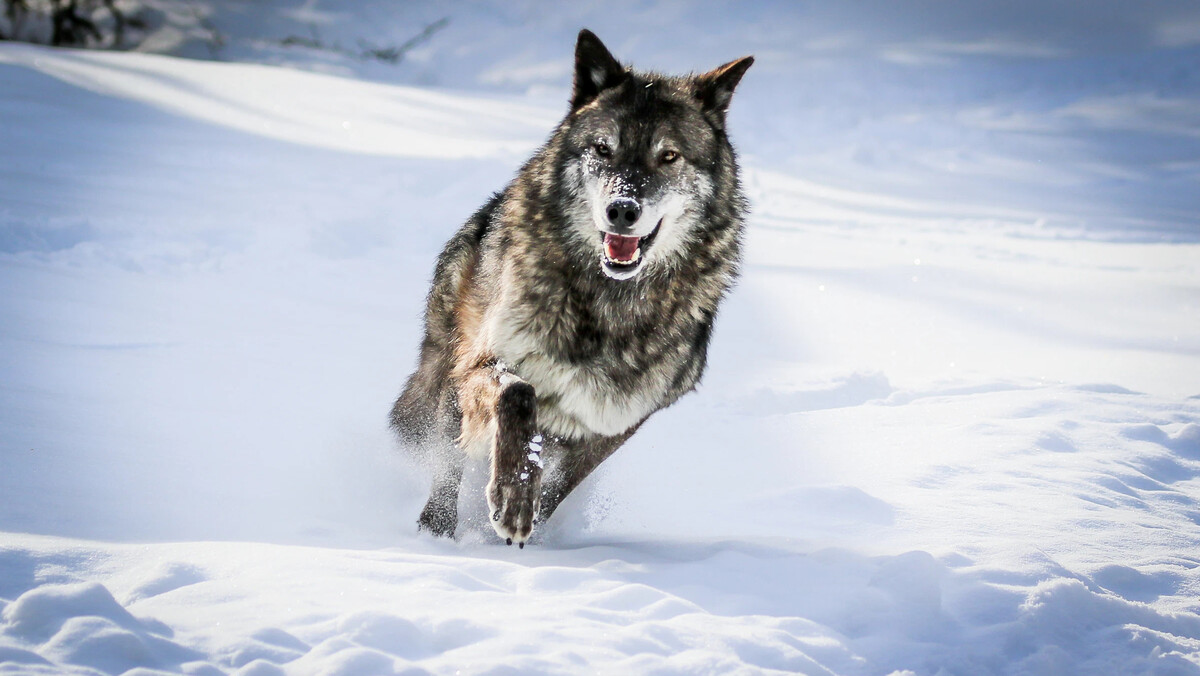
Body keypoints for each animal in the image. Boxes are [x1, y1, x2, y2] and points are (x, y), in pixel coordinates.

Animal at [391, 30, 748, 545]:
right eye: (602, 149)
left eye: (669, 156)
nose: (622, 209)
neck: (607, 307)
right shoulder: (482, 365)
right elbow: (518, 396)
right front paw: (513, 499)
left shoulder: (614, 422)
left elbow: (562, 484)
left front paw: (526, 518)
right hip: (448, 373)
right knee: (447, 460)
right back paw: (433, 534)